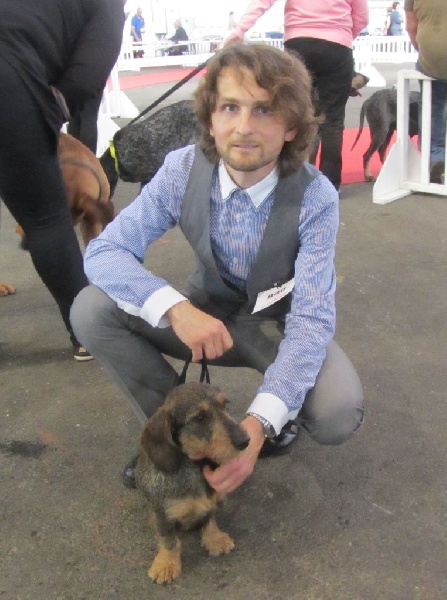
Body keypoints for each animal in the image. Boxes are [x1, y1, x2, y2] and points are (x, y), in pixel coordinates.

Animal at [134, 382, 250, 584]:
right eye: (200, 417)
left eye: (224, 405)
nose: (245, 441)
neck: (195, 467)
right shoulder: (164, 516)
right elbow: (170, 542)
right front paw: (166, 564)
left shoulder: (212, 503)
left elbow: (210, 521)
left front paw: (215, 539)